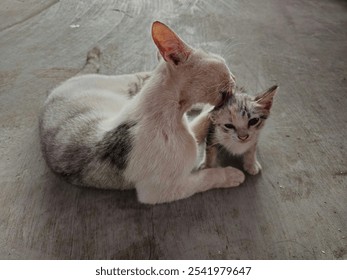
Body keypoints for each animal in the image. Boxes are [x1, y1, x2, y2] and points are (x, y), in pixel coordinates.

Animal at [39, 20, 246, 203]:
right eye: (223, 64)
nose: (235, 77)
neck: (174, 114)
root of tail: (55, 89)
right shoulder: (159, 190)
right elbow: (206, 177)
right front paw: (231, 174)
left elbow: (202, 122)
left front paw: (213, 110)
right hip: (122, 83)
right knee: (139, 76)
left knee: (144, 76)